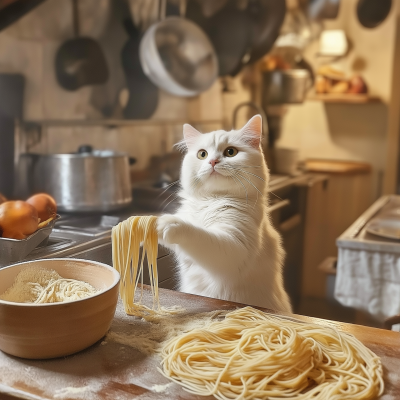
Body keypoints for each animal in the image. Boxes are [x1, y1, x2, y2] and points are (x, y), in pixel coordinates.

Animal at [158, 115, 292, 312]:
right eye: (202, 154)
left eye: (230, 152)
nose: (213, 161)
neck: (211, 200)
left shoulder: (235, 246)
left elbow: (197, 234)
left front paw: (165, 224)